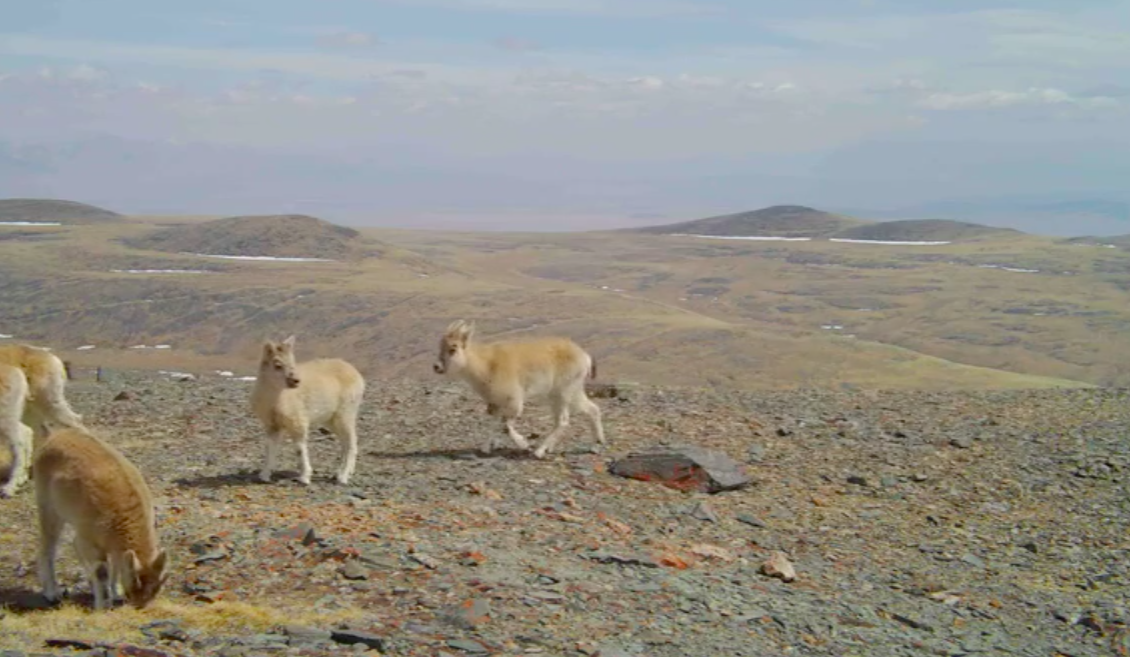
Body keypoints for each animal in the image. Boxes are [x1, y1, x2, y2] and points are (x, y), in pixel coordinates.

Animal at [32, 425, 167, 610]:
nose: (139, 605)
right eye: (133, 585)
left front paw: (115, 593)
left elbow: (115, 564)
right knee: (48, 548)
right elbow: (102, 572)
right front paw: (103, 606)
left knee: (74, 544)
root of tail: (52, 436)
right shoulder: (92, 542)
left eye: (156, 588)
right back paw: (52, 593)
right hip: (48, 507)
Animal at [251, 334, 366, 483]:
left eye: (293, 362)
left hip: (346, 412)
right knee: (345, 442)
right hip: (331, 419)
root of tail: (356, 374)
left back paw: (343, 477)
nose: (296, 381)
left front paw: (305, 477)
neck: (275, 401)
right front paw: (264, 475)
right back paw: (341, 472)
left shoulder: (298, 422)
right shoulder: (272, 425)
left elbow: (299, 449)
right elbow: (270, 448)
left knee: (351, 441)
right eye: (277, 365)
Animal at [433, 321, 610, 459]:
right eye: (440, 347)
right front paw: (485, 448)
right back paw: (595, 443)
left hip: (564, 391)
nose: (436, 367)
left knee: (564, 420)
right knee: (591, 409)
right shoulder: (495, 403)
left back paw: (539, 451)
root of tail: (585, 357)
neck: (486, 365)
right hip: (568, 392)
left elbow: (506, 426)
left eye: (453, 348)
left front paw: (524, 444)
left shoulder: (514, 401)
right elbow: (493, 422)